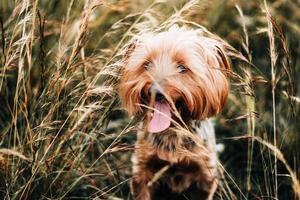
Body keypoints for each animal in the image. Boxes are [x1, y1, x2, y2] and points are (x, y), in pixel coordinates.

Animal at [119, 26, 230, 200]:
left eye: (182, 68)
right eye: (147, 65)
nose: (155, 91)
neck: (172, 130)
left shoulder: (205, 174)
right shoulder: (142, 169)